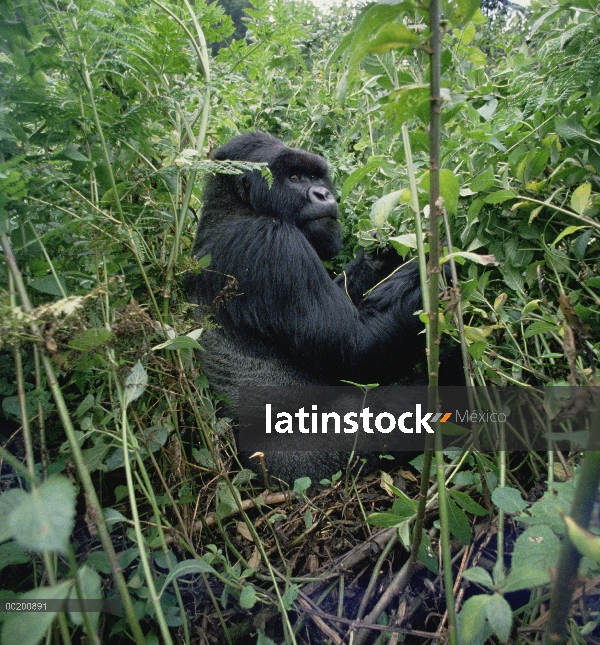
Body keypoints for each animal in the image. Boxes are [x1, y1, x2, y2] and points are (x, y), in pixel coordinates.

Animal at [188, 131, 426, 484]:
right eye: (295, 177)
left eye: (316, 176)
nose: (324, 194)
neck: (234, 207)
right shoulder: (274, 243)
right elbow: (357, 351)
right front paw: (432, 275)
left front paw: (379, 256)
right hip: (294, 470)